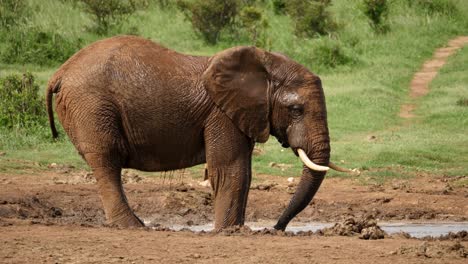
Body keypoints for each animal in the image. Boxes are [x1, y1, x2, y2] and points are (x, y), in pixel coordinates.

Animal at [45, 35, 350, 231]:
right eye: (296, 109)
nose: (276, 228)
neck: (265, 65)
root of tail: (60, 72)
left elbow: (244, 173)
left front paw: (236, 229)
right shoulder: (221, 115)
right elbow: (231, 171)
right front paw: (228, 232)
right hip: (92, 107)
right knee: (107, 161)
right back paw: (134, 227)